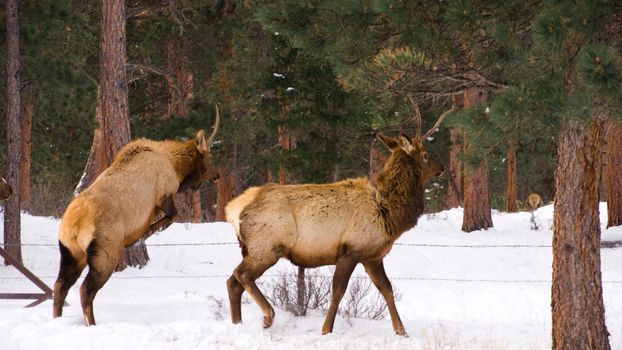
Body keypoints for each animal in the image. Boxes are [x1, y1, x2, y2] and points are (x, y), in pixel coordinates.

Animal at [53, 107, 222, 326]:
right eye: (210, 157)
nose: (217, 176)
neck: (176, 166)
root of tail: (73, 224)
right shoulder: (164, 195)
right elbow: (169, 218)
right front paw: (139, 237)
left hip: (71, 252)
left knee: (60, 286)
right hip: (104, 252)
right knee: (85, 289)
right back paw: (92, 323)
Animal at [224, 109, 454, 336]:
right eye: (425, 155)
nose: (442, 167)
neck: (388, 212)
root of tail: (232, 209)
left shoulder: (372, 256)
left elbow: (387, 289)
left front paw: (402, 331)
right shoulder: (350, 250)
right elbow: (338, 291)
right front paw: (326, 329)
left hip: (251, 249)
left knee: (232, 282)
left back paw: (237, 324)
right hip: (268, 246)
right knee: (241, 275)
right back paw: (267, 316)